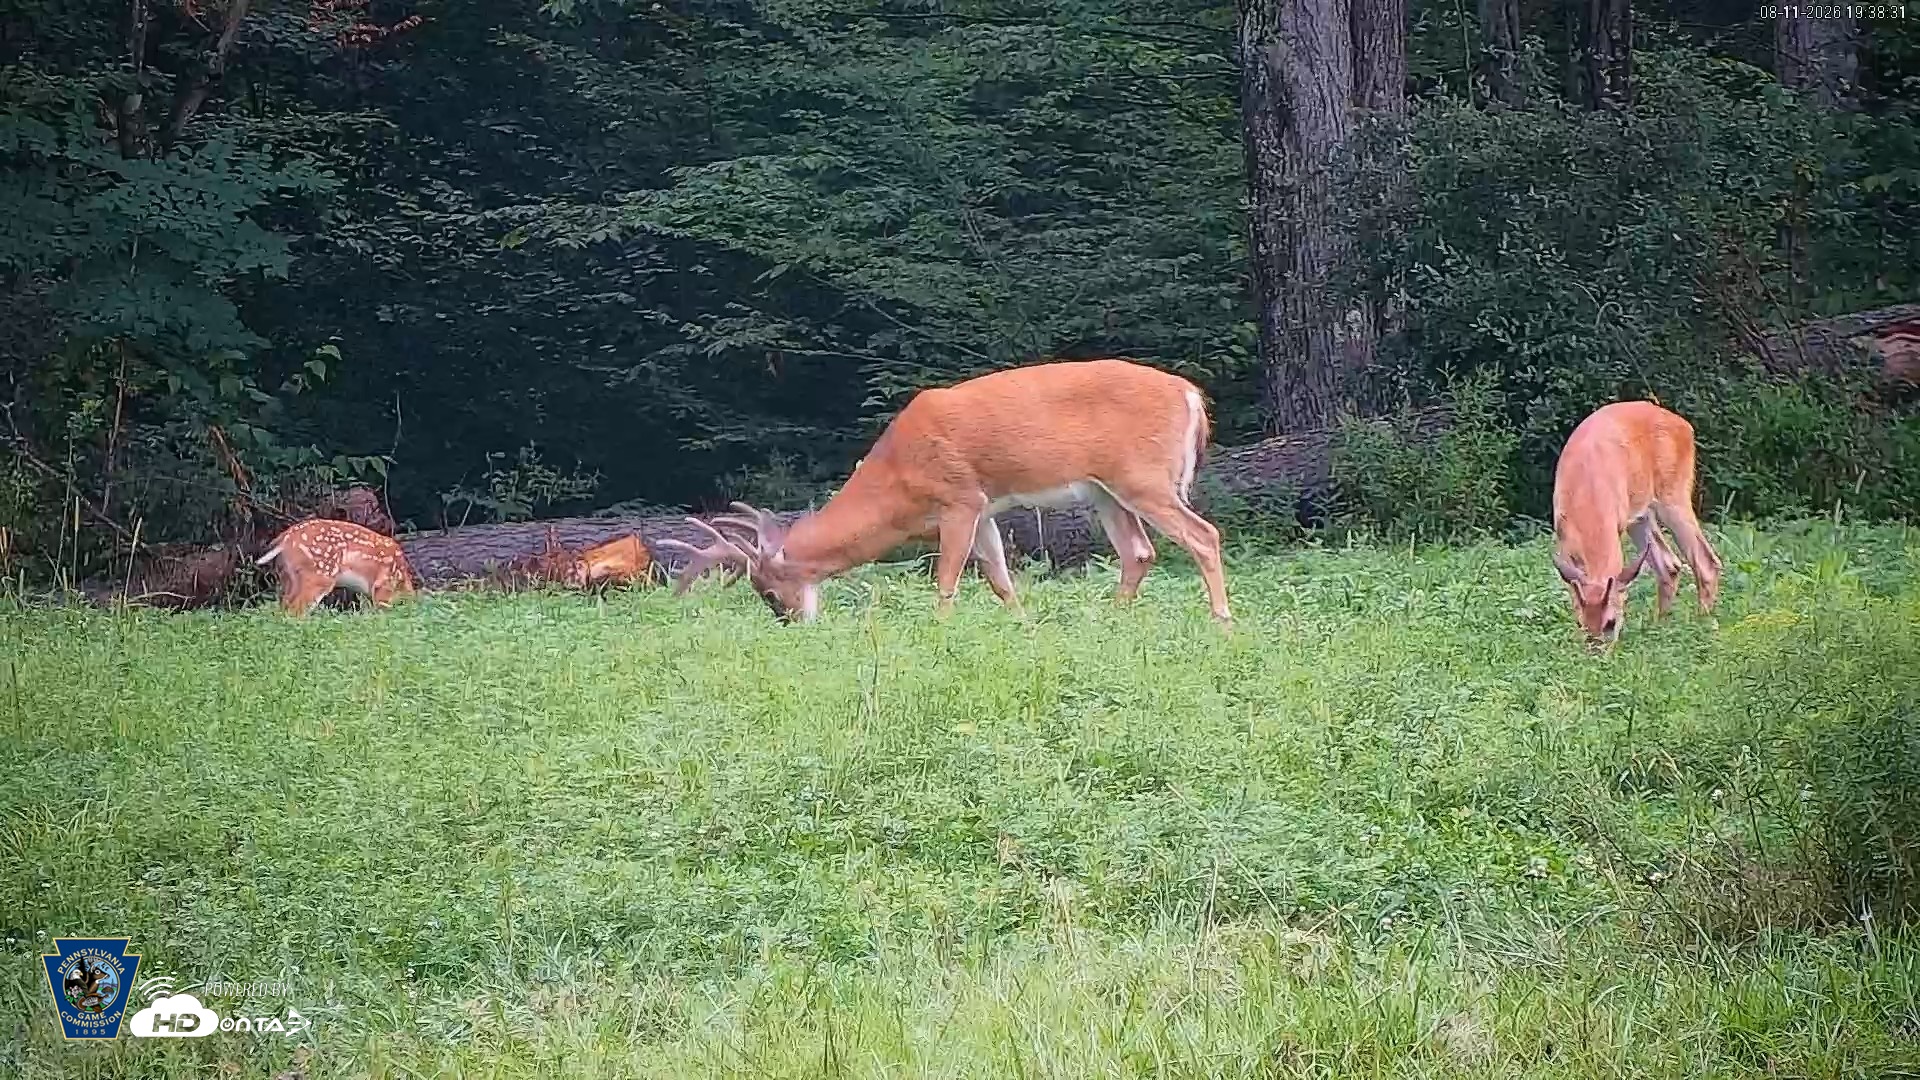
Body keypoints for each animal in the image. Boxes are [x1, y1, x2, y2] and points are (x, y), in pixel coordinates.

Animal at [253, 518, 418, 615]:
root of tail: (285, 539)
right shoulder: (383, 587)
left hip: (287, 576)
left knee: (283, 607)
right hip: (318, 575)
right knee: (296, 610)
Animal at [655, 357, 1232, 625]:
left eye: (771, 593)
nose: (794, 624)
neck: (897, 481)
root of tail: (1190, 394)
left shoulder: (958, 500)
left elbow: (948, 581)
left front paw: (941, 632)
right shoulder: (986, 509)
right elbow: (1001, 578)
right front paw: (1025, 628)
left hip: (1144, 476)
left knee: (1203, 535)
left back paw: (1222, 623)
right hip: (1105, 491)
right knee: (1139, 552)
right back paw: (1109, 620)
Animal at [1551, 400, 1722, 644]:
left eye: (1611, 623)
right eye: (1581, 624)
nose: (1596, 651)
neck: (1586, 495)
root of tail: (1684, 425)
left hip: (1673, 493)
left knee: (1704, 560)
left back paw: (1701, 623)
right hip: (1641, 515)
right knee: (1669, 564)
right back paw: (1659, 626)